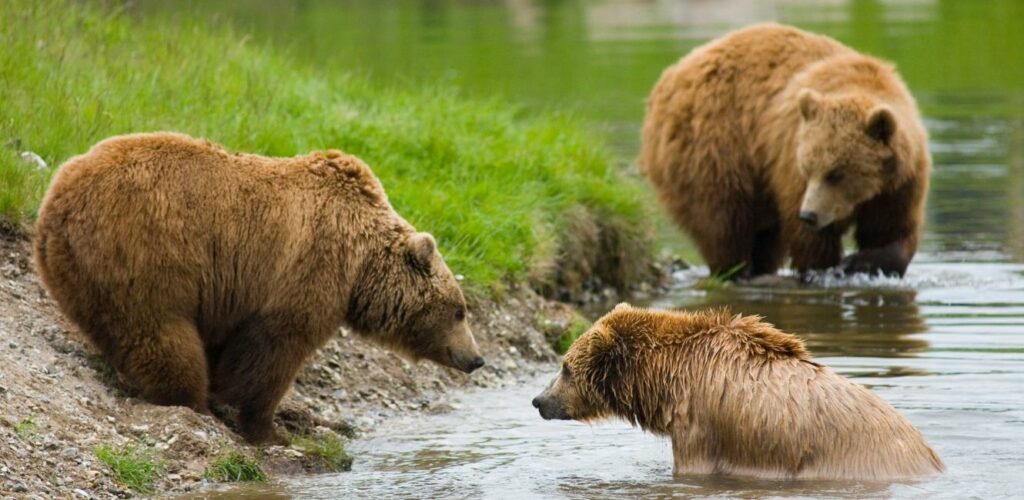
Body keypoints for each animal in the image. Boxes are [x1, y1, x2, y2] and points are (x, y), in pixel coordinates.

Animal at [35, 132, 483, 440]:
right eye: (459, 310)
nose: (476, 359)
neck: (361, 266)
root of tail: (57, 203)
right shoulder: (309, 265)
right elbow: (273, 349)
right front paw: (268, 429)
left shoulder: (230, 294)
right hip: (145, 253)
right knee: (161, 332)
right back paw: (192, 401)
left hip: (83, 272)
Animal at [536, 303, 942, 481]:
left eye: (565, 367)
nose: (538, 400)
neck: (666, 375)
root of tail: (928, 455)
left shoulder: (698, 422)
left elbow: (693, 466)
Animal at [643, 22, 933, 276]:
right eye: (808, 170)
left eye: (836, 174)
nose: (809, 215)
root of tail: (670, 76)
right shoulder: (789, 159)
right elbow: (810, 242)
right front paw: (826, 268)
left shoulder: (901, 180)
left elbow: (890, 230)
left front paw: (861, 262)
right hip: (716, 143)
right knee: (722, 216)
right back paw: (735, 270)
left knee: (764, 236)